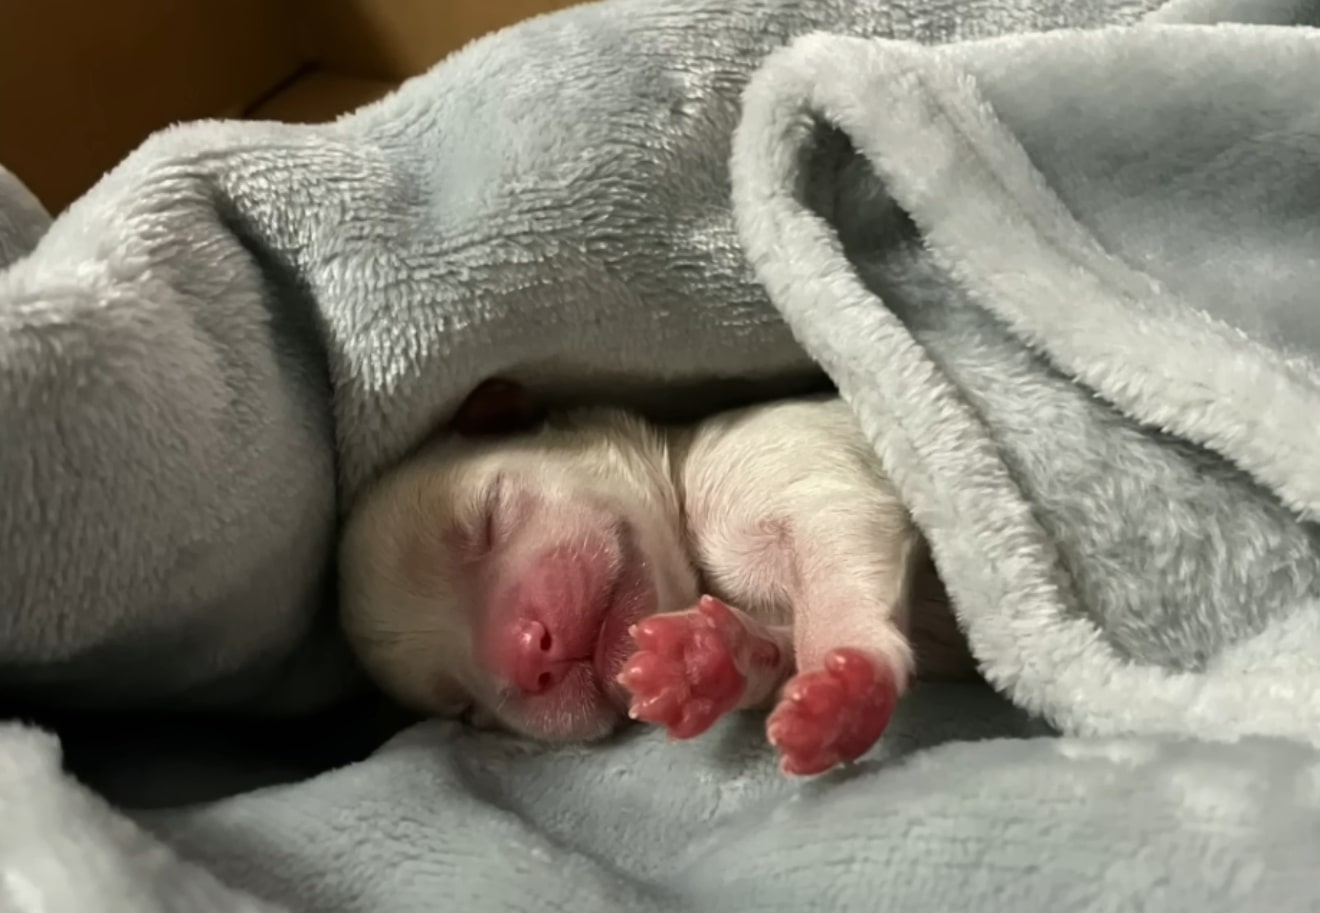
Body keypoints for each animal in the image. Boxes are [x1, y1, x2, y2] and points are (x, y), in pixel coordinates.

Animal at [335, 385, 966, 775]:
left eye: (488, 517)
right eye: (465, 707)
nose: (524, 656)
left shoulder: (805, 468)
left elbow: (838, 558)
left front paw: (843, 685)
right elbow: (774, 645)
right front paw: (704, 657)